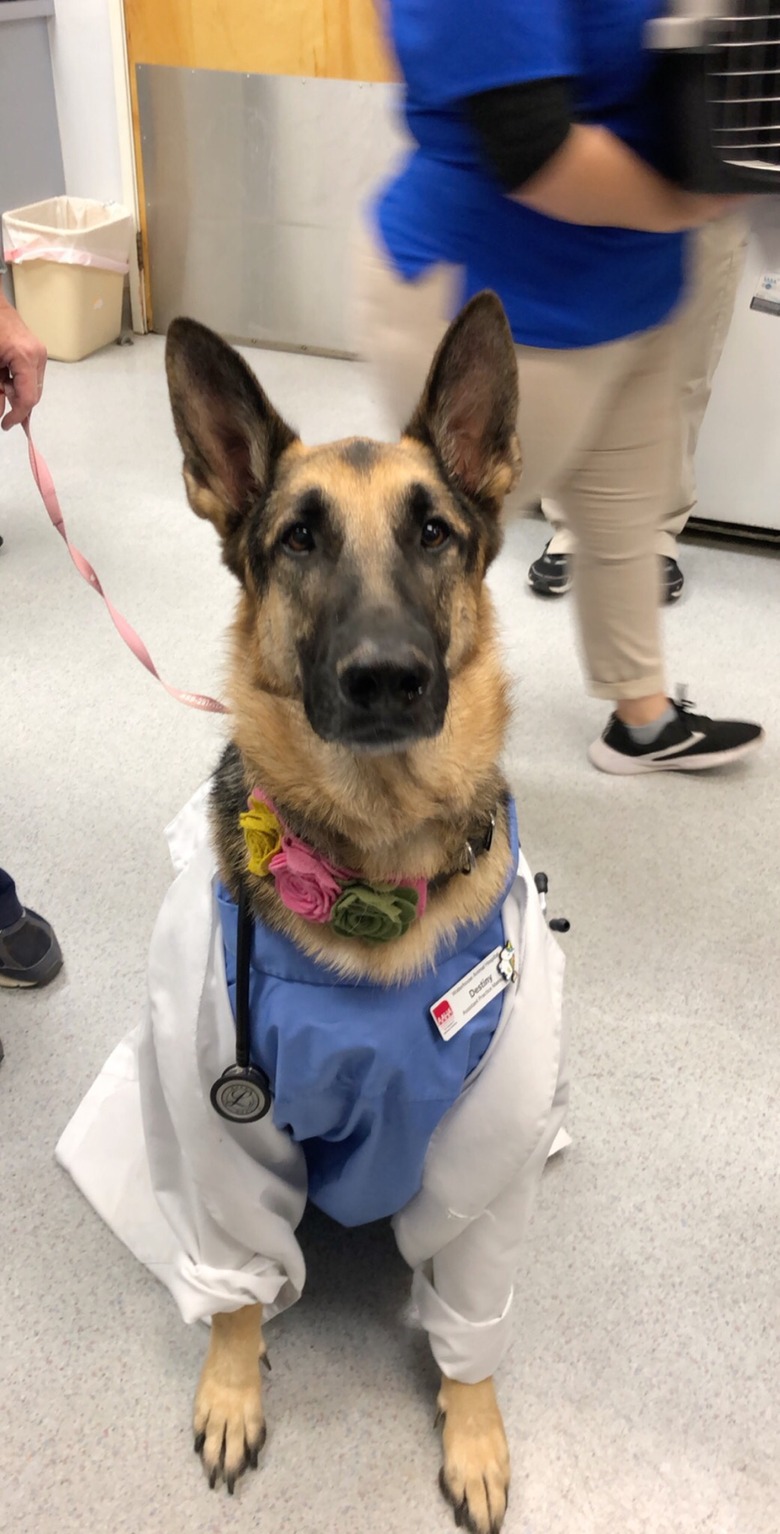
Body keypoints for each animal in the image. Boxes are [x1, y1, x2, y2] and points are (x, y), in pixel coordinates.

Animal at [165, 289, 525, 1534]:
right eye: (299, 540)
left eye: (434, 533)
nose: (385, 679)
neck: (372, 864)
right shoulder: (230, 1138)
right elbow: (237, 1287)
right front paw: (233, 1387)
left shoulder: (480, 1163)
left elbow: (470, 1323)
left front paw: (474, 1431)